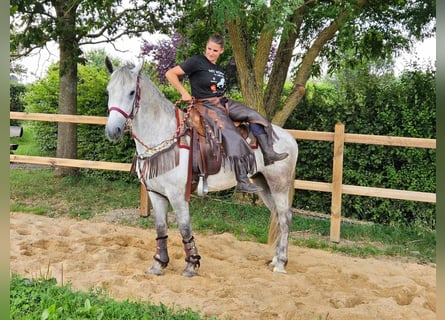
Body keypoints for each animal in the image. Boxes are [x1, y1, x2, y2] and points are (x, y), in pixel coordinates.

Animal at [104, 58, 298, 278]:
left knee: (285, 217)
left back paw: (281, 263)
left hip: (279, 184)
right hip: (262, 183)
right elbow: (161, 228)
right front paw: (158, 264)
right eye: (108, 91)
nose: (112, 131)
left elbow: (184, 228)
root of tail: (290, 138)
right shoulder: (156, 193)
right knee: (277, 215)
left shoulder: (178, 195)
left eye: (131, 92)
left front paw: (191, 265)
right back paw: (275, 259)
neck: (163, 135)